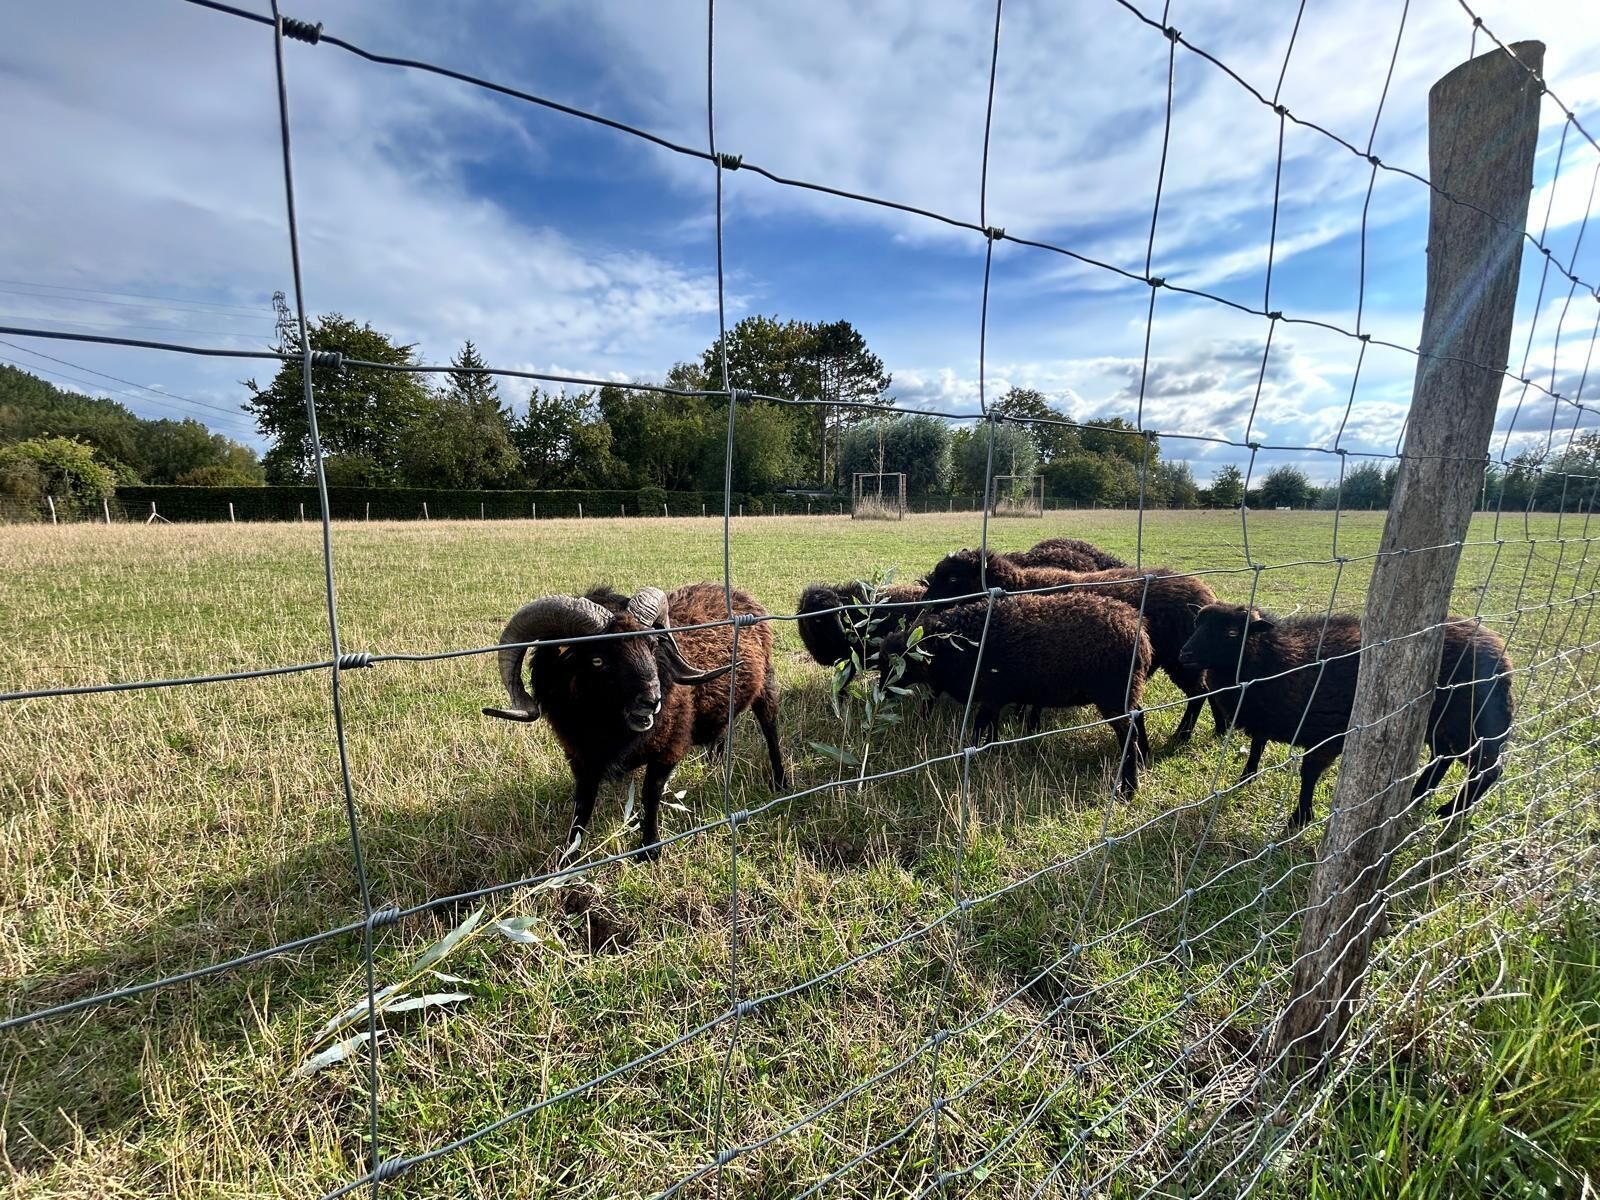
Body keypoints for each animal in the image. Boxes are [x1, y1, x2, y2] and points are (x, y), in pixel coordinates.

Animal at [484, 583, 784, 856]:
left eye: (652, 646)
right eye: (597, 660)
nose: (652, 700)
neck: (607, 728)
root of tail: (737, 593)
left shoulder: (668, 749)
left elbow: (650, 795)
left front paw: (649, 849)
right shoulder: (581, 757)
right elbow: (582, 806)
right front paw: (568, 857)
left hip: (766, 685)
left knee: (771, 731)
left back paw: (780, 783)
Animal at [880, 591, 1153, 796]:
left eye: (903, 663)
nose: (883, 694)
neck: (961, 644)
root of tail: (1140, 636)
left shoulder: (991, 694)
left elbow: (980, 725)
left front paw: (974, 756)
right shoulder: (996, 698)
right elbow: (991, 726)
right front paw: (991, 750)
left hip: (1113, 694)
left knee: (1128, 734)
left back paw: (1128, 790)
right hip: (1128, 691)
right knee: (1138, 716)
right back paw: (1143, 759)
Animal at [919, 548, 1226, 743]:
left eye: (954, 578)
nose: (925, 604)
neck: (1022, 585)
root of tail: (1206, 594)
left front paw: (1026, 722)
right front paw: (1026, 722)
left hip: (1183, 659)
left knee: (1198, 694)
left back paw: (1182, 735)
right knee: (1211, 689)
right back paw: (1220, 730)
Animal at [1177, 603, 1514, 830]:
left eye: (1232, 633)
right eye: (1196, 623)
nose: (1184, 654)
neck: (1275, 660)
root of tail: (1503, 657)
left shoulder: (1328, 734)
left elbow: (1308, 773)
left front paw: (1300, 817)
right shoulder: (1265, 715)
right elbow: (1258, 746)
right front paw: (1246, 777)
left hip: (1470, 722)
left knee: (1488, 769)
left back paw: (1450, 810)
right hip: (1441, 723)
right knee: (1444, 756)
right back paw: (1418, 794)